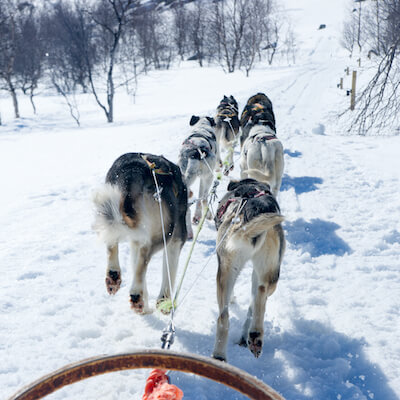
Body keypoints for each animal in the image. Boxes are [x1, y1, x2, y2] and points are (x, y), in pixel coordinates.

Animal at [93, 152, 188, 312]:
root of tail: (133, 170)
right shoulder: (176, 239)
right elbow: (169, 274)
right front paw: (164, 302)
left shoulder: (136, 240)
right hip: (164, 231)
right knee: (145, 254)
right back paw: (136, 293)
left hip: (111, 212)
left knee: (112, 244)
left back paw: (114, 276)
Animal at [212, 180, 284, 360]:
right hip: (271, 272)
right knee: (260, 291)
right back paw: (254, 335)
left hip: (226, 271)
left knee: (223, 316)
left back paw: (220, 354)